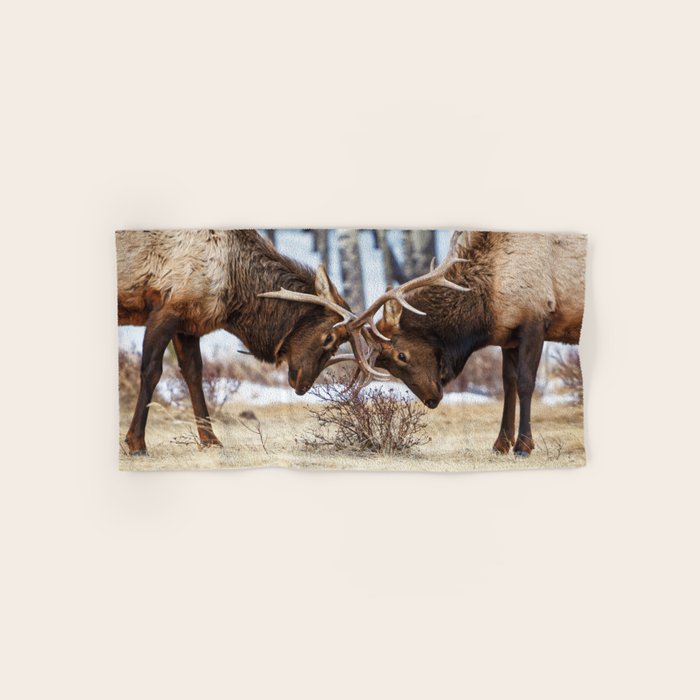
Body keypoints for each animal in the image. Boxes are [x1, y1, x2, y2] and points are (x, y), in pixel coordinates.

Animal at [116, 229, 361, 456]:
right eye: (329, 337)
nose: (304, 385)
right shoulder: (165, 309)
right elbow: (151, 371)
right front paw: (136, 443)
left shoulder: (188, 322)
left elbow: (194, 373)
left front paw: (211, 440)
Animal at [335, 231, 586, 457]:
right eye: (387, 366)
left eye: (402, 355)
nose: (431, 399)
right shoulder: (509, 337)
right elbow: (508, 383)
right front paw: (500, 445)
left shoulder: (535, 322)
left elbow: (525, 383)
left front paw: (523, 446)